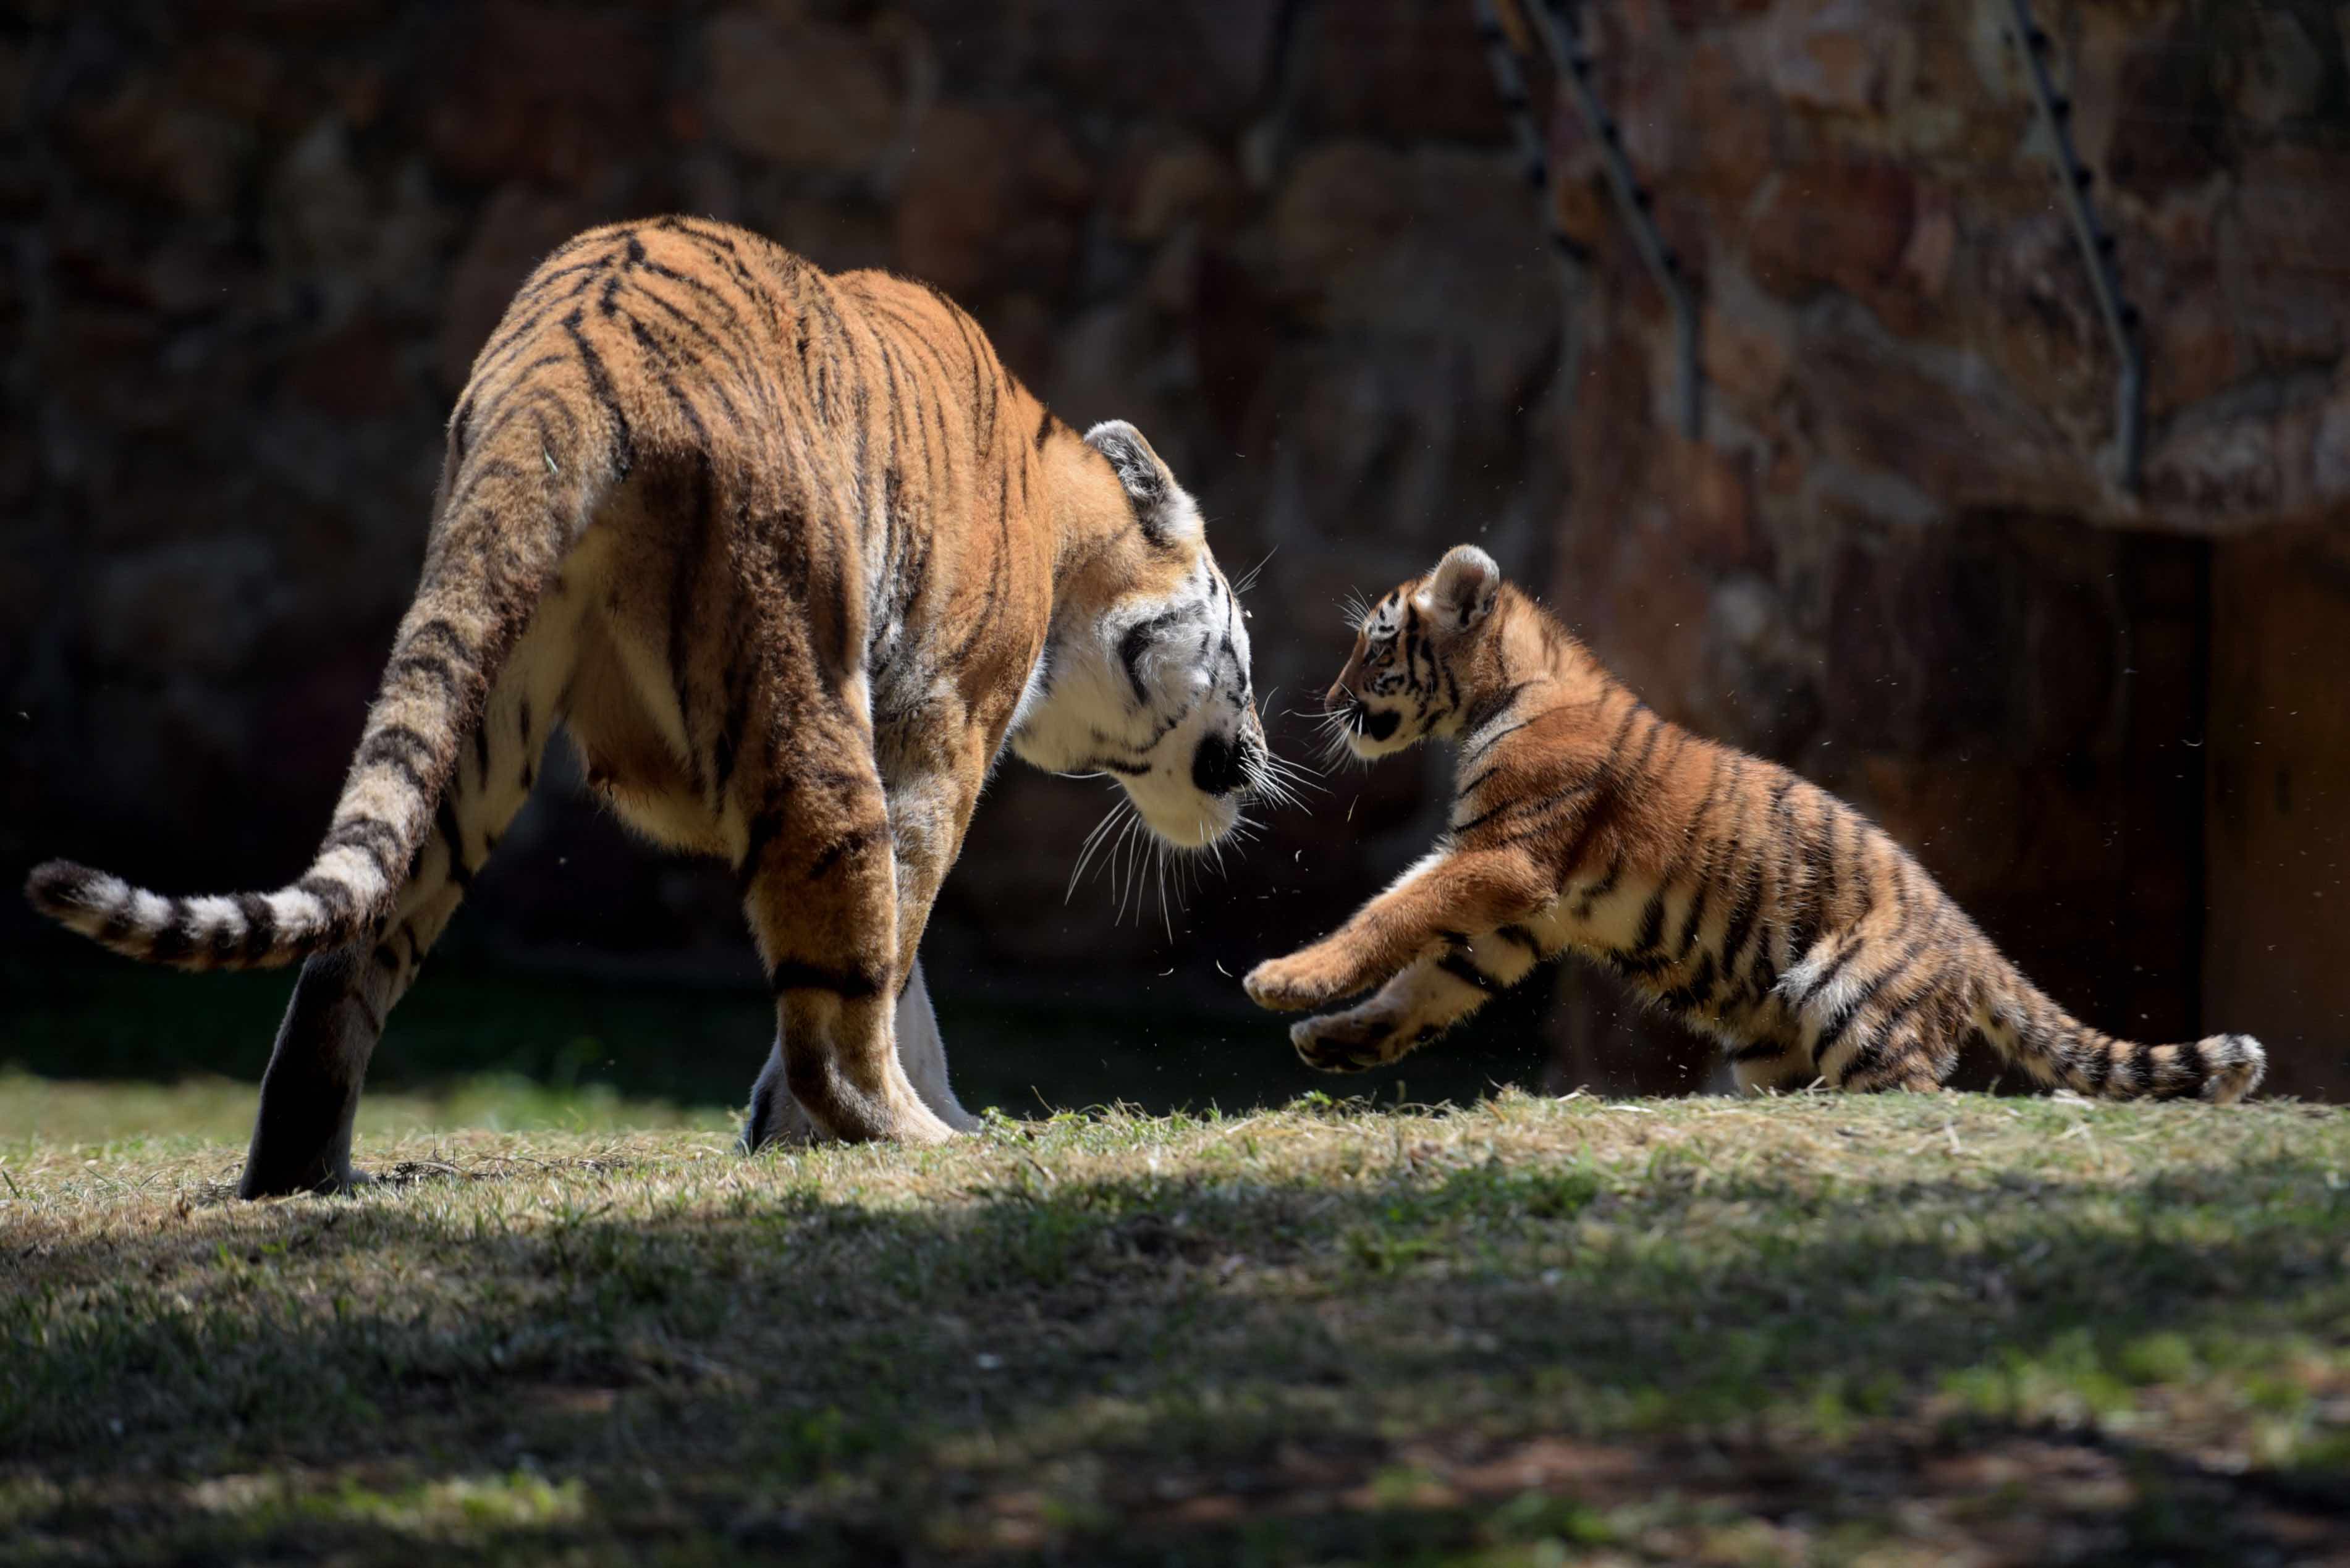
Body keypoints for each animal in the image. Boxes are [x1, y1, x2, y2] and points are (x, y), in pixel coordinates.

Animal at [27, 221, 1269, 1194]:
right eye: (1246, 661)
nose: (1258, 759)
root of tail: (562, 350)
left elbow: (895, 962)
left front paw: (791, 1130)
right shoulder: (938, 738)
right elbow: (887, 943)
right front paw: (867, 1124)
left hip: (477, 704)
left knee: (348, 950)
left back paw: (302, 1179)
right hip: (797, 678)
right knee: (834, 990)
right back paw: (917, 1141)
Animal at [1240, 545, 2265, 1110]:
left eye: (1374, 642)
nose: (1324, 703)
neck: (1500, 689)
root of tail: (1968, 936)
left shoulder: (1504, 857)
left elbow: (1391, 912)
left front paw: (1285, 978)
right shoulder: (1517, 912)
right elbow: (1427, 980)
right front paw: (1332, 1039)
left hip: (1844, 993)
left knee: (1919, 1088)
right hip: (1770, 1037)